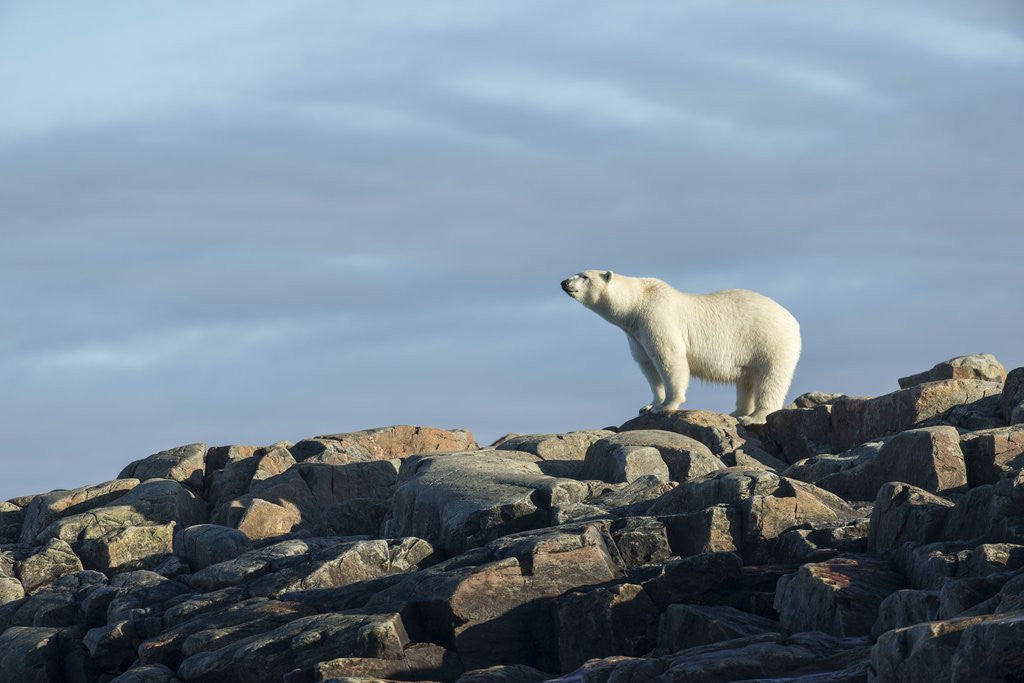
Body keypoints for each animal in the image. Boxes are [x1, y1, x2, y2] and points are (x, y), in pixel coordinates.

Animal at [560, 270, 801, 424]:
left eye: (584, 276)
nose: (564, 282)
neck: (636, 304)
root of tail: (793, 321)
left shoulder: (656, 317)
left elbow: (669, 358)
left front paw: (666, 405)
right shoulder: (636, 333)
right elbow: (647, 365)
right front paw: (649, 405)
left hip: (769, 340)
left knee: (770, 378)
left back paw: (753, 418)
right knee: (747, 379)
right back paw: (736, 412)